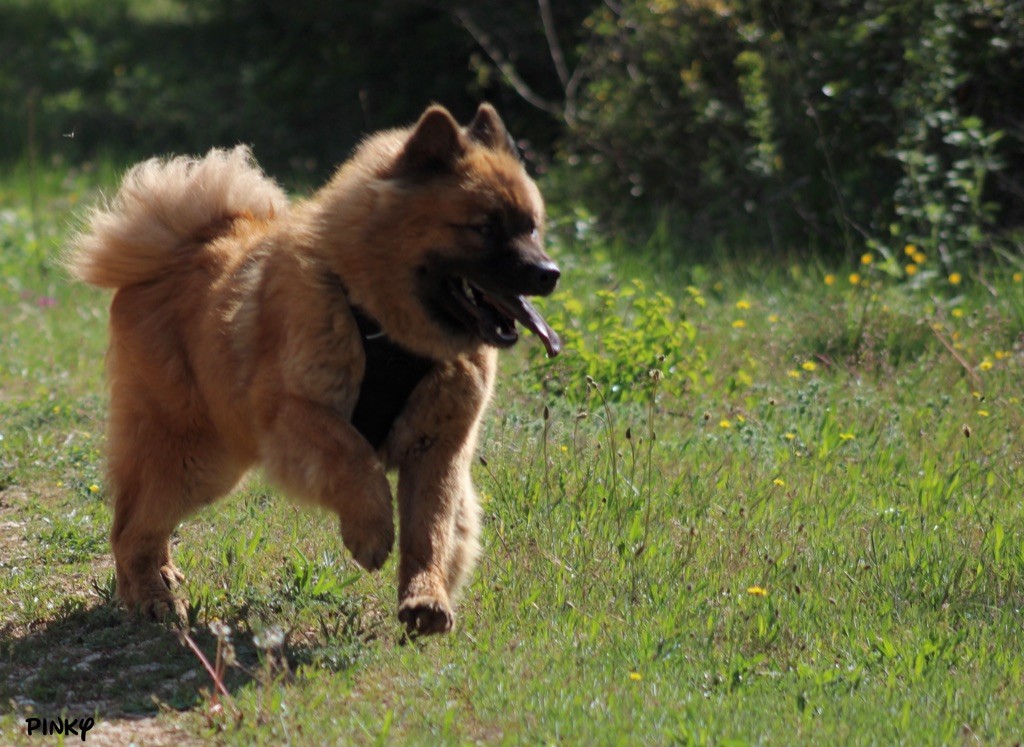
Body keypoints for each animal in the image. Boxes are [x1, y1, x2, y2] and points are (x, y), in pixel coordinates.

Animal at [71, 101, 561, 631]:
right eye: (485, 228)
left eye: (531, 226)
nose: (549, 273)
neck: (384, 324)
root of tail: (172, 249)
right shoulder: (293, 414)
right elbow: (356, 458)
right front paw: (370, 532)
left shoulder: (438, 448)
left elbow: (431, 530)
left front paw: (425, 599)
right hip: (195, 454)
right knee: (130, 525)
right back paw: (151, 596)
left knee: (142, 518)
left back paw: (162, 575)